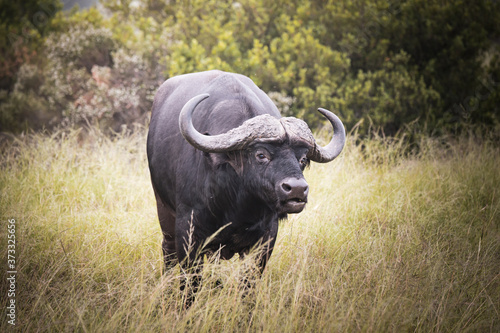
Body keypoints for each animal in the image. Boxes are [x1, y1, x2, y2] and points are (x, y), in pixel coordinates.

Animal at [146, 69, 346, 304]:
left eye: (303, 159)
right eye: (261, 154)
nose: (297, 189)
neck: (236, 205)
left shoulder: (265, 239)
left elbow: (248, 285)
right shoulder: (188, 231)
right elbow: (190, 284)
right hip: (164, 211)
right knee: (168, 254)